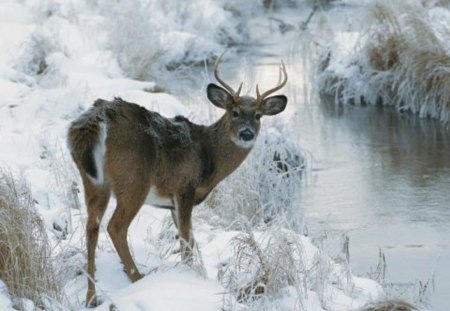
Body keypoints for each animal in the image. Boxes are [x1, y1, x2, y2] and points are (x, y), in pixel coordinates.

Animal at [67, 54, 288, 308]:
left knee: (91, 228)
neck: (208, 155)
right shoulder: (184, 187)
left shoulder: (171, 203)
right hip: (133, 179)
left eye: (258, 116)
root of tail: (95, 119)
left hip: (93, 181)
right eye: (235, 112)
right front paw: (190, 277)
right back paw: (137, 278)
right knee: (115, 226)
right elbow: (186, 239)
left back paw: (91, 297)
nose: (246, 133)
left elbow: (187, 240)